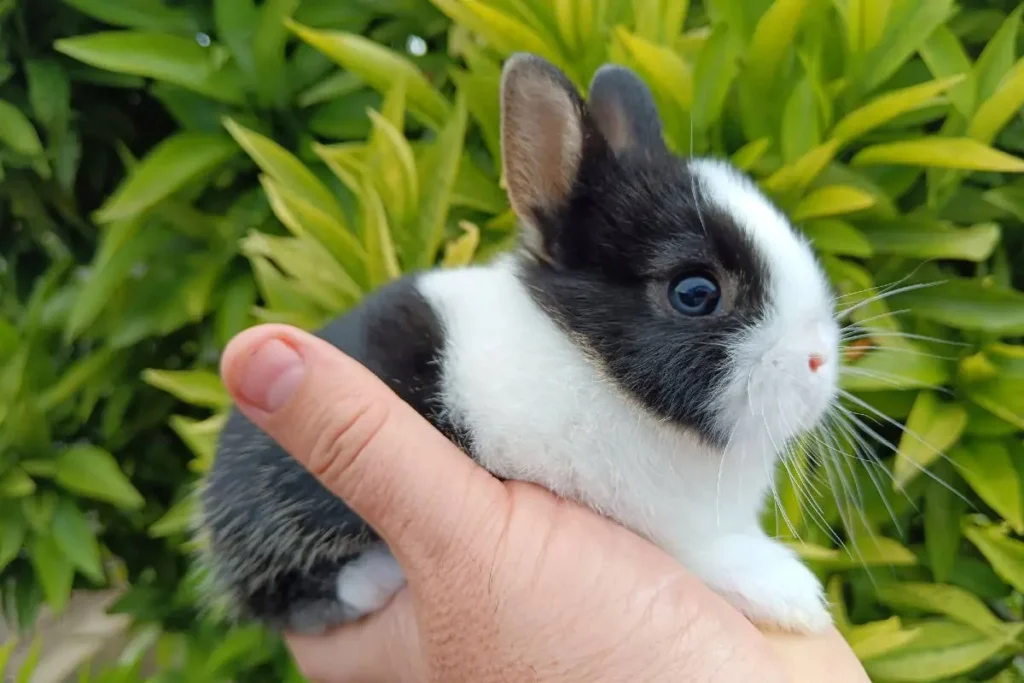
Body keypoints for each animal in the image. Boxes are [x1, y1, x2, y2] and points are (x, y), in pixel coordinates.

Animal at [195, 52, 841, 637]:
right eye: (695, 293)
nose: (819, 363)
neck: (588, 362)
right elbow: (697, 553)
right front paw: (791, 595)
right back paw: (376, 577)